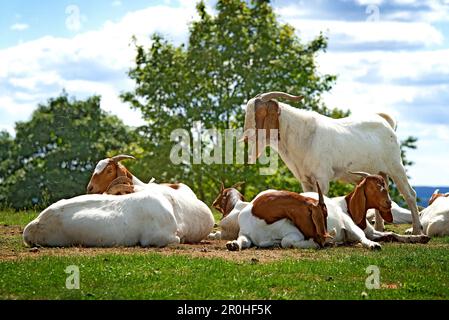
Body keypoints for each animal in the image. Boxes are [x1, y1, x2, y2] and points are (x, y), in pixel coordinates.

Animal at [242, 91, 420, 234]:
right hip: (379, 172)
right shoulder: (305, 180)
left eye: (261, 112)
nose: (245, 137)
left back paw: (417, 230)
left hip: (395, 166)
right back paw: (379, 229)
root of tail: (385, 122)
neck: (304, 137)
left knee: (410, 194)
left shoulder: (322, 178)